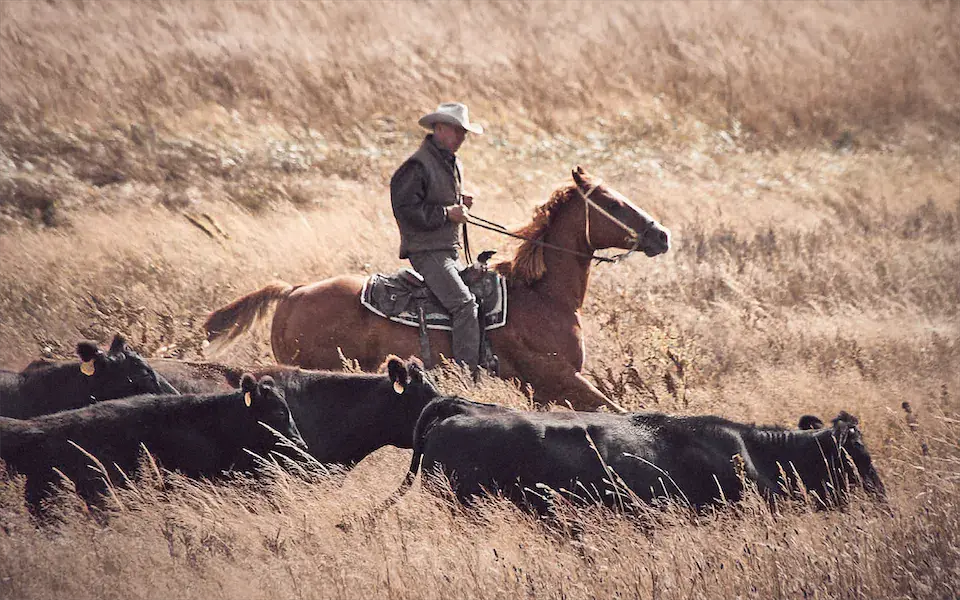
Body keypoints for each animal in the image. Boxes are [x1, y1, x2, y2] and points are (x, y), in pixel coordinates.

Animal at [204, 168, 668, 412]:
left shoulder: (543, 391)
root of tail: (293, 291)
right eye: (613, 203)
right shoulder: (561, 378)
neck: (542, 296)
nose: (661, 235)